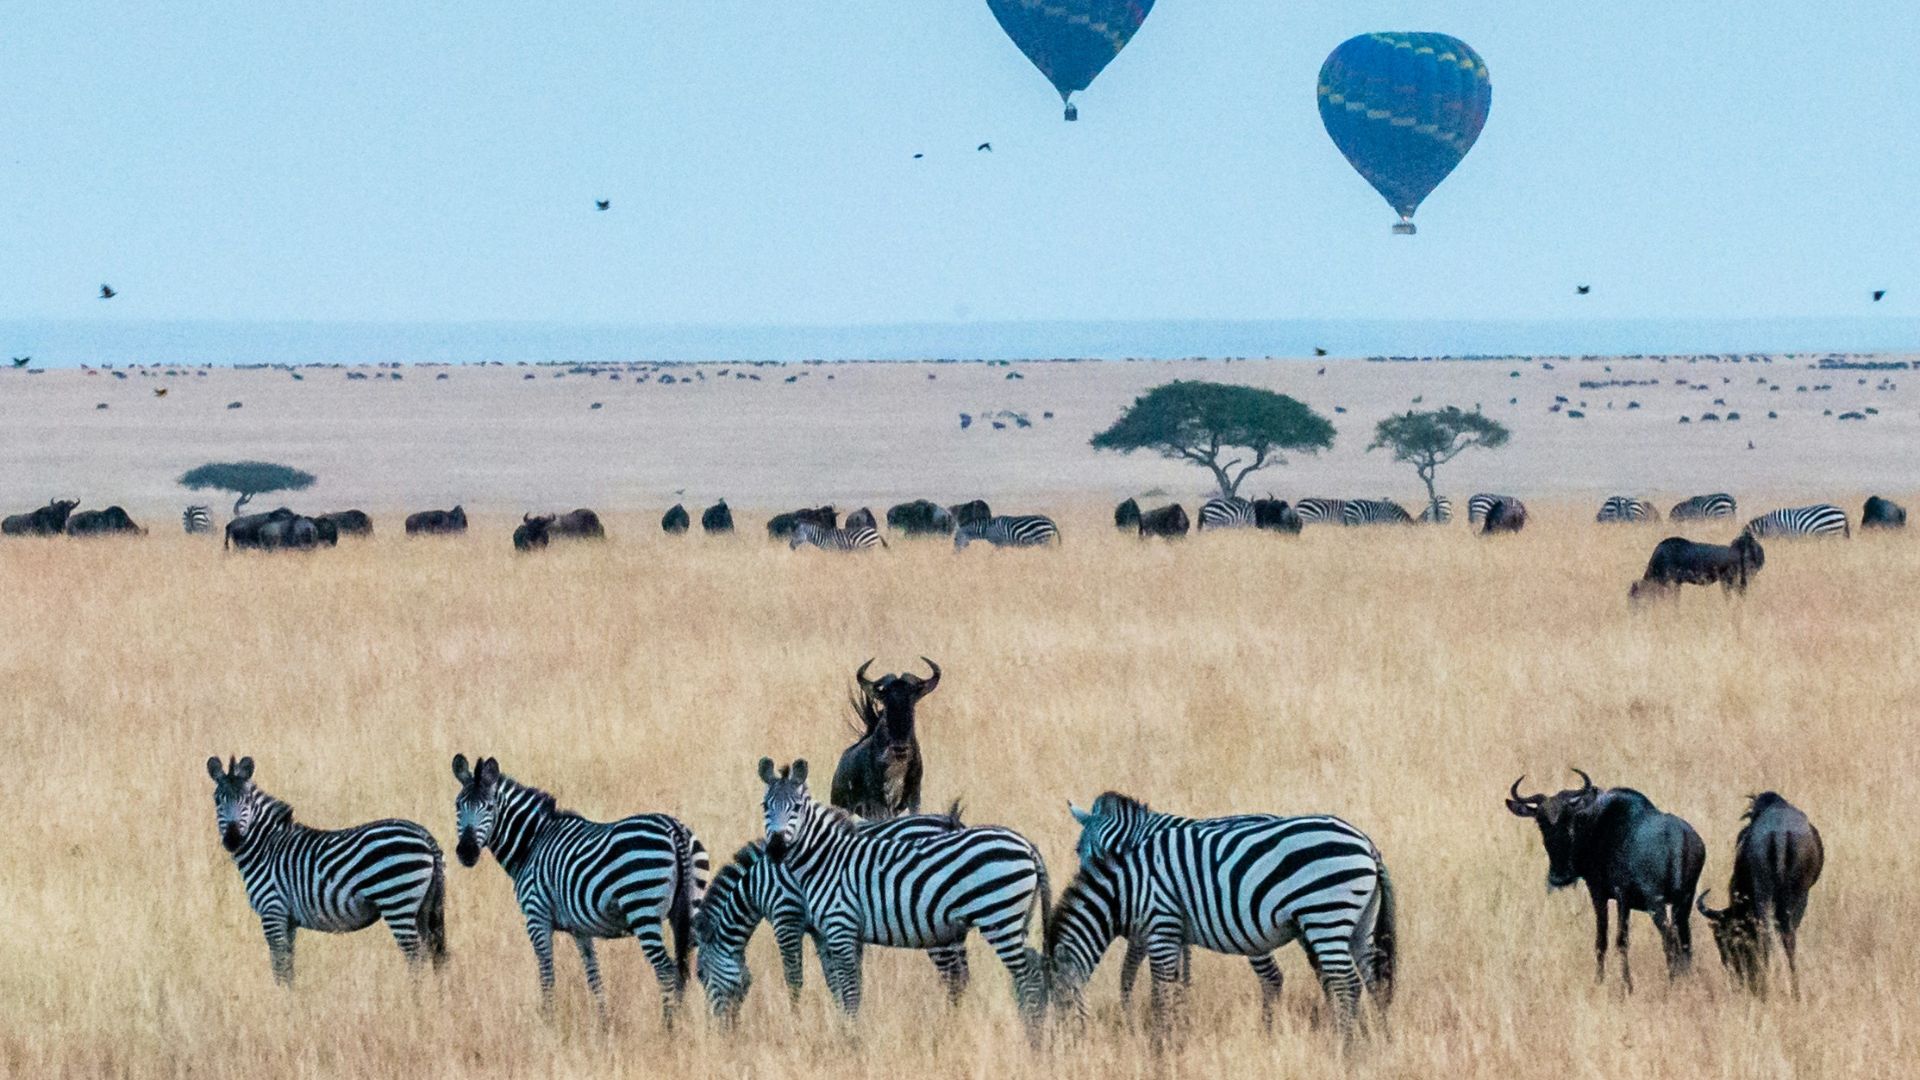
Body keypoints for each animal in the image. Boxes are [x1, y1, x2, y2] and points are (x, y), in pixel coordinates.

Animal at [206, 756, 446, 985]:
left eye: (246, 800)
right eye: (217, 801)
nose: (232, 839)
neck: (266, 846)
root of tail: (423, 833)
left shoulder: (272, 911)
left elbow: (279, 965)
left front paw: (279, 997)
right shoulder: (288, 920)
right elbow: (288, 966)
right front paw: (291, 997)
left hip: (396, 899)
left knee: (415, 956)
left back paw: (414, 996)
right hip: (424, 906)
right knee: (433, 952)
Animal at [451, 755, 708, 1019]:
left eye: (489, 807)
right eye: (458, 806)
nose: (466, 852)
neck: (533, 842)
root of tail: (674, 829)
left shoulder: (536, 916)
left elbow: (547, 974)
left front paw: (549, 1019)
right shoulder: (580, 929)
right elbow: (594, 976)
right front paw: (603, 1020)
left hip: (642, 908)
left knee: (666, 970)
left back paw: (668, 1024)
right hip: (691, 908)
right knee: (690, 968)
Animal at [694, 806, 971, 1022]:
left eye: (700, 976)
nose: (719, 1031)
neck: (758, 883)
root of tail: (950, 822)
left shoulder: (787, 916)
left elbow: (793, 977)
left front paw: (796, 1021)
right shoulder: (821, 928)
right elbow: (834, 980)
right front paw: (843, 1019)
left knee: (954, 977)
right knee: (962, 975)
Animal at [756, 758, 1050, 1028]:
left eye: (797, 807)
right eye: (765, 807)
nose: (776, 849)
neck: (826, 858)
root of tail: (1027, 846)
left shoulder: (832, 924)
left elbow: (838, 986)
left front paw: (846, 1033)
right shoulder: (835, 932)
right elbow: (846, 986)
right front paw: (846, 1026)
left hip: (998, 917)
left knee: (1027, 977)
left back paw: (1030, 1030)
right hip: (1011, 920)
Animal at [1048, 797, 1394, 1040]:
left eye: (1093, 851)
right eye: (1078, 849)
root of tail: (1367, 844)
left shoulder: (1159, 920)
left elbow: (1150, 980)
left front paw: (1158, 1030)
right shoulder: (1165, 927)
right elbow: (1161, 976)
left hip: (1320, 915)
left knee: (1332, 981)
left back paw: (1342, 1042)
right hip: (1353, 924)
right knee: (1370, 979)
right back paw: (1377, 1038)